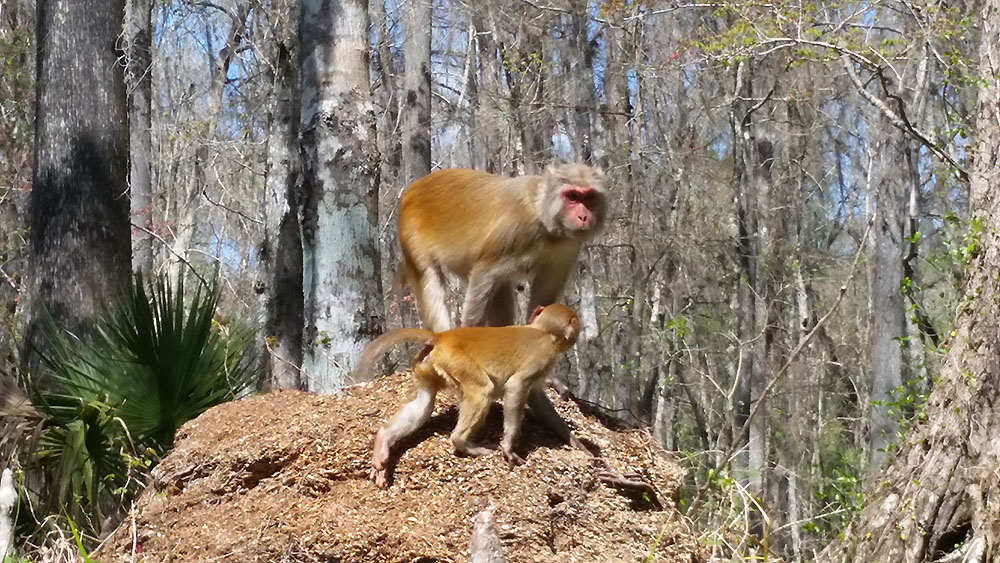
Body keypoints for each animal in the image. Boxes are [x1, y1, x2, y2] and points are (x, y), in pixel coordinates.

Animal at [358, 304, 580, 490]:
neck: (543, 331)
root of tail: (441, 337)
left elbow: (537, 399)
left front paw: (574, 441)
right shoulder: (543, 357)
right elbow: (516, 386)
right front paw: (508, 448)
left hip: (428, 365)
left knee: (424, 402)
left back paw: (384, 438)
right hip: (457, 360)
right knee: (483, 390)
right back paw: (462, 442)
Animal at [394, 164, 604, 454]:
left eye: (589, 197)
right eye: (572, 196)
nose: (583, 216)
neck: (545, 221)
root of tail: (415, 185)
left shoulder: (567, 247)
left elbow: (543, 297)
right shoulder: (515, 230)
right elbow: (485, 273)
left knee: (501, 290)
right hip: (411, 230)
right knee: (431, 276)